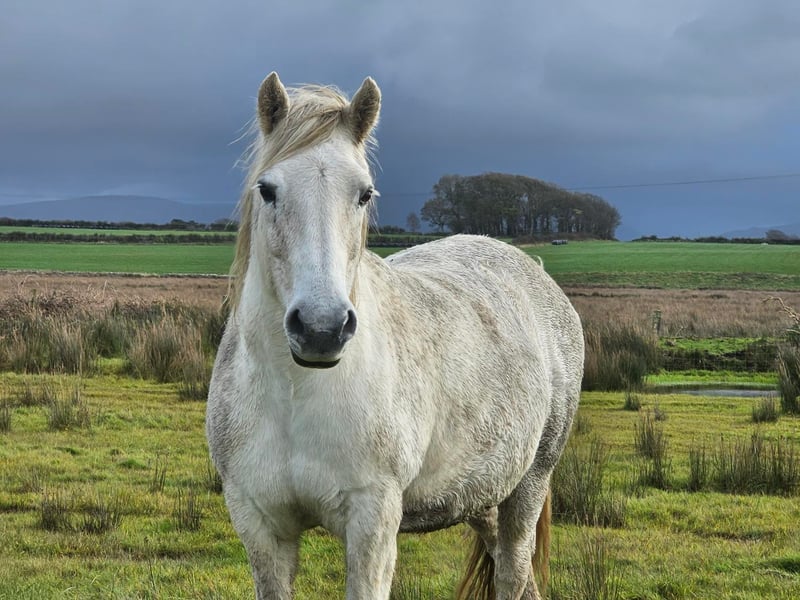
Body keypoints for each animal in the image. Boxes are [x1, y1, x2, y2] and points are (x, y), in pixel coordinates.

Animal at [206, 72, 584, 600]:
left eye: (364, 194)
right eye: (267, 190)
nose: (321, 328)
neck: (295, 394)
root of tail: (534, 269)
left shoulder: (373, 520)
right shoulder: (260, 525)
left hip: (529, 484)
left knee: (513, 570)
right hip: (484, 492)